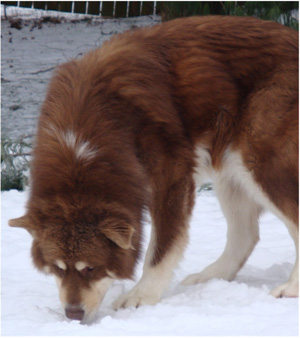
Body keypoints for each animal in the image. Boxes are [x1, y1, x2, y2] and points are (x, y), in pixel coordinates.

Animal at [8, 15, 298, 322]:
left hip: (260, 164)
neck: (83, 140)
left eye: (91, 268)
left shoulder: (171, 179)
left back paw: (291, 287)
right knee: (246, 234)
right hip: (229, 168)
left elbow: (160, 249)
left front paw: (141, 295)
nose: (73, 314)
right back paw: (210, 277)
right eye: (58, 267)